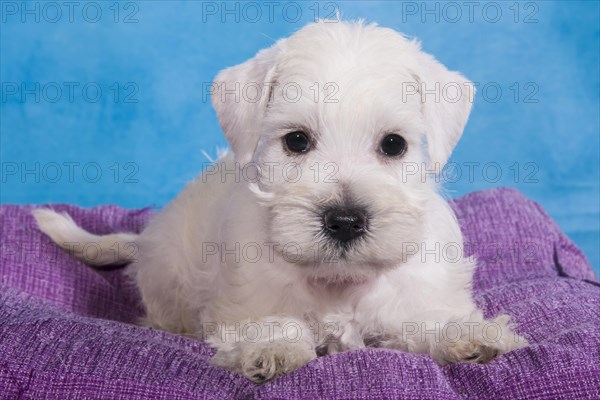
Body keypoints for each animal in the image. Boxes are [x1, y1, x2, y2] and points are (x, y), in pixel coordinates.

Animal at [36, 20, 524, 382]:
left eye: (393, 144)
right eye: (296, 140)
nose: (345, 220)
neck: (337, 282)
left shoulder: (419, 294)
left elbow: (430, 318)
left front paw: (469, 335)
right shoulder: (246, 300)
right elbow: (273, 319)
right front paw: (274, 346)